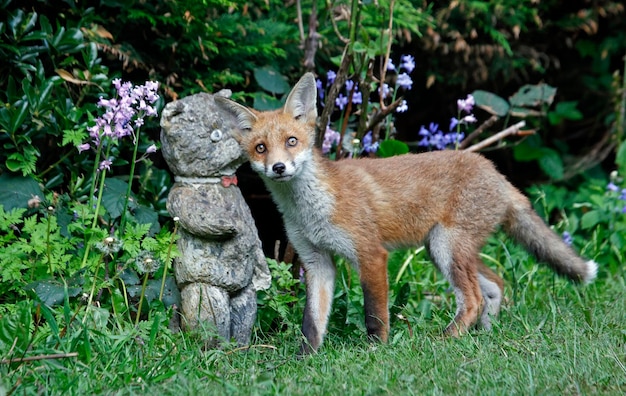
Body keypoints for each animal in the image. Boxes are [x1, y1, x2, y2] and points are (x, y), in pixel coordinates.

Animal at [217, 72, 596, 354]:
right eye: (261, 148)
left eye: (292, 141)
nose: (279, 168)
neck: (311, 210)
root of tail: (497, 172)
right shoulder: (316, 261)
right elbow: (312, 323)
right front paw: (305, 358)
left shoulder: (370, 253)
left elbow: (375, 314)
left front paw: (376, 352)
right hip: (442, 250)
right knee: (495, 286)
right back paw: (485, 335)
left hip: (445, 247)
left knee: (473, 299)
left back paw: (446, 339)